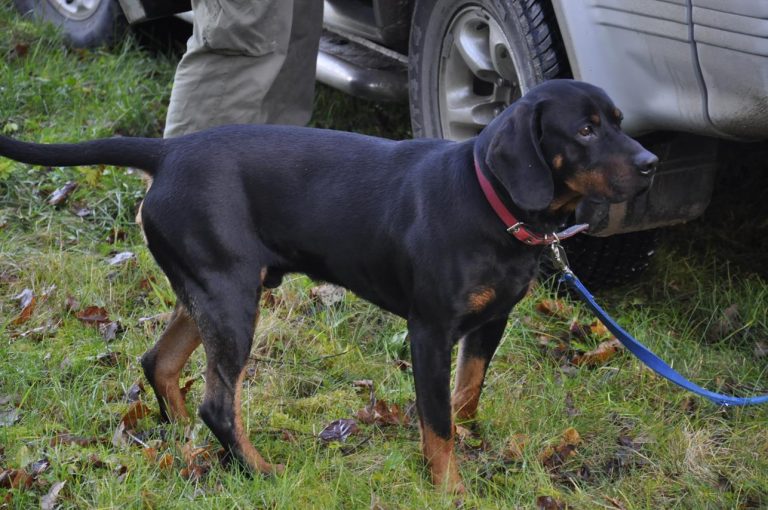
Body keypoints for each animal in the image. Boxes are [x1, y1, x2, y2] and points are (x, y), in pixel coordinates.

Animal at [1, 80, 660, 494]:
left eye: (620, 123)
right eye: (584, 129)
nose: (652, 164)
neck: (490, 202)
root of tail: (166, 153)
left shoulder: (488, 322)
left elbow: (467, 395)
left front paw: (478, 443)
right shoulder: (428, 331)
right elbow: (437, 422)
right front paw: (450, 486)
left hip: (213, 287)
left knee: (159, 363)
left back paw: (184, 441)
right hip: (231, 295)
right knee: (219, 402)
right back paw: (259, 470)